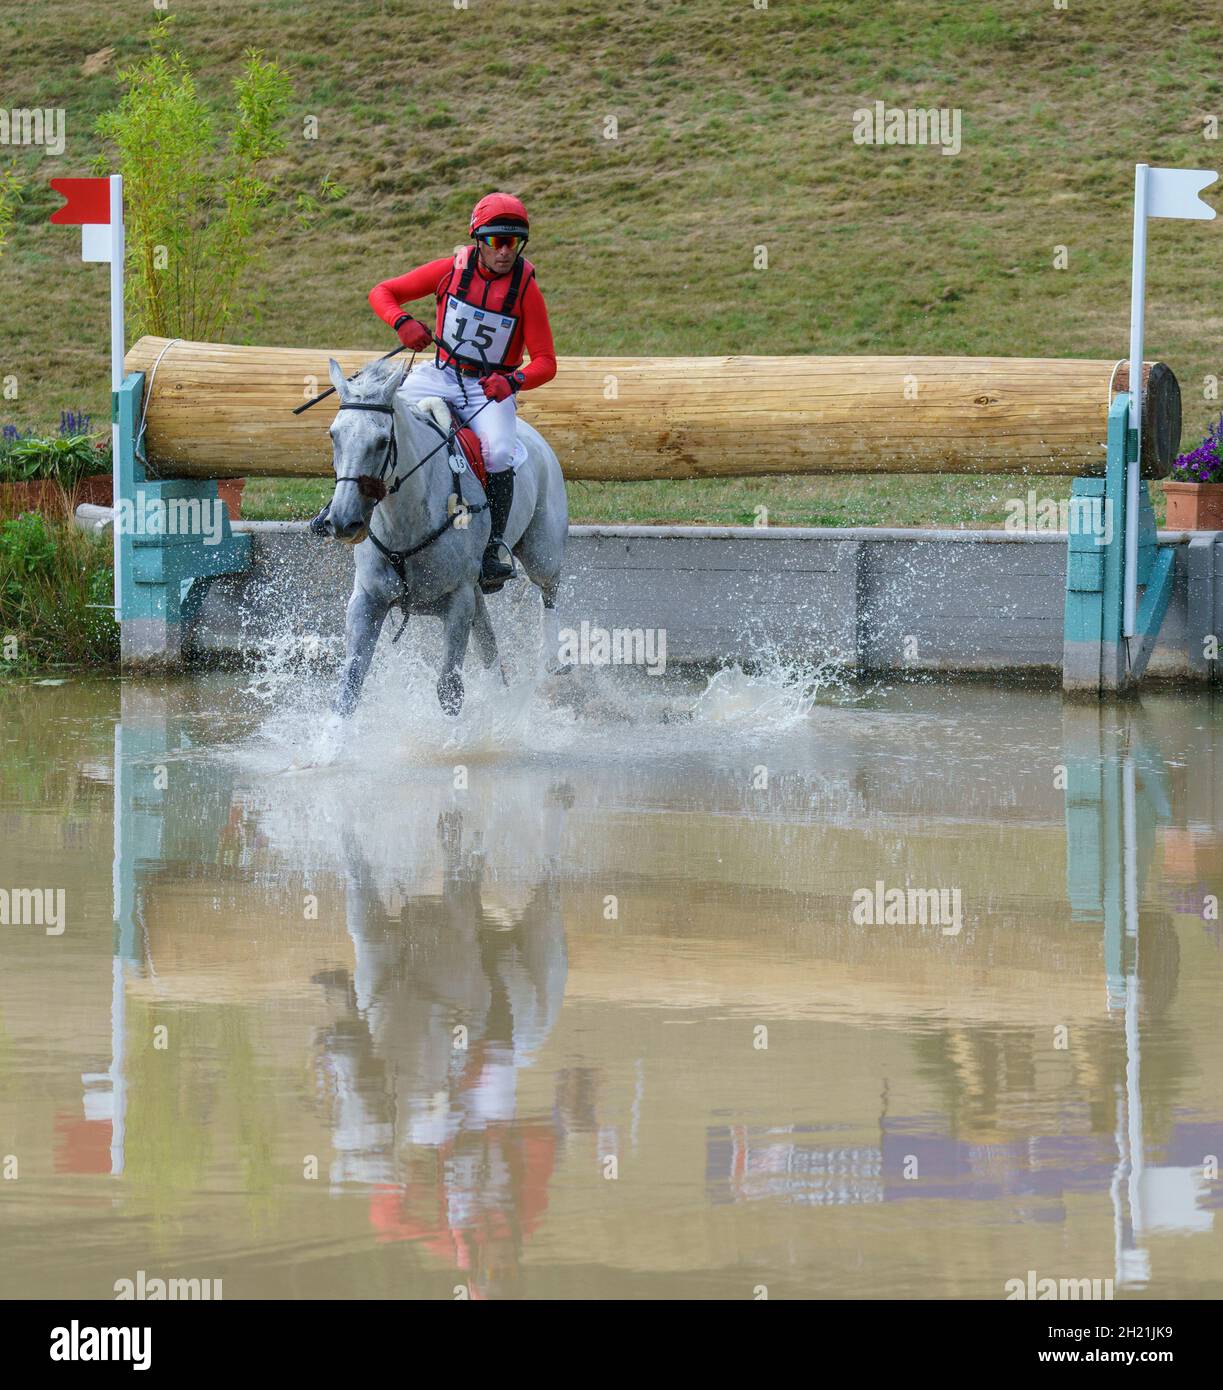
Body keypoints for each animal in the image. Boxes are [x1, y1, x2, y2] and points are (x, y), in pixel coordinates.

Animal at [315, 358, 564, 722]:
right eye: (333, 435)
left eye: (381, 441)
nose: (344, 521)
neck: (406, 521)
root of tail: (536, 439)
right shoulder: (367, 600)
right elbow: (349, 687)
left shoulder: (458, 601)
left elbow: (449, 689)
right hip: (480, 585)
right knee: (488, 640)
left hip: (542, 553)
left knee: (548, 592)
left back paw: (552, 663)